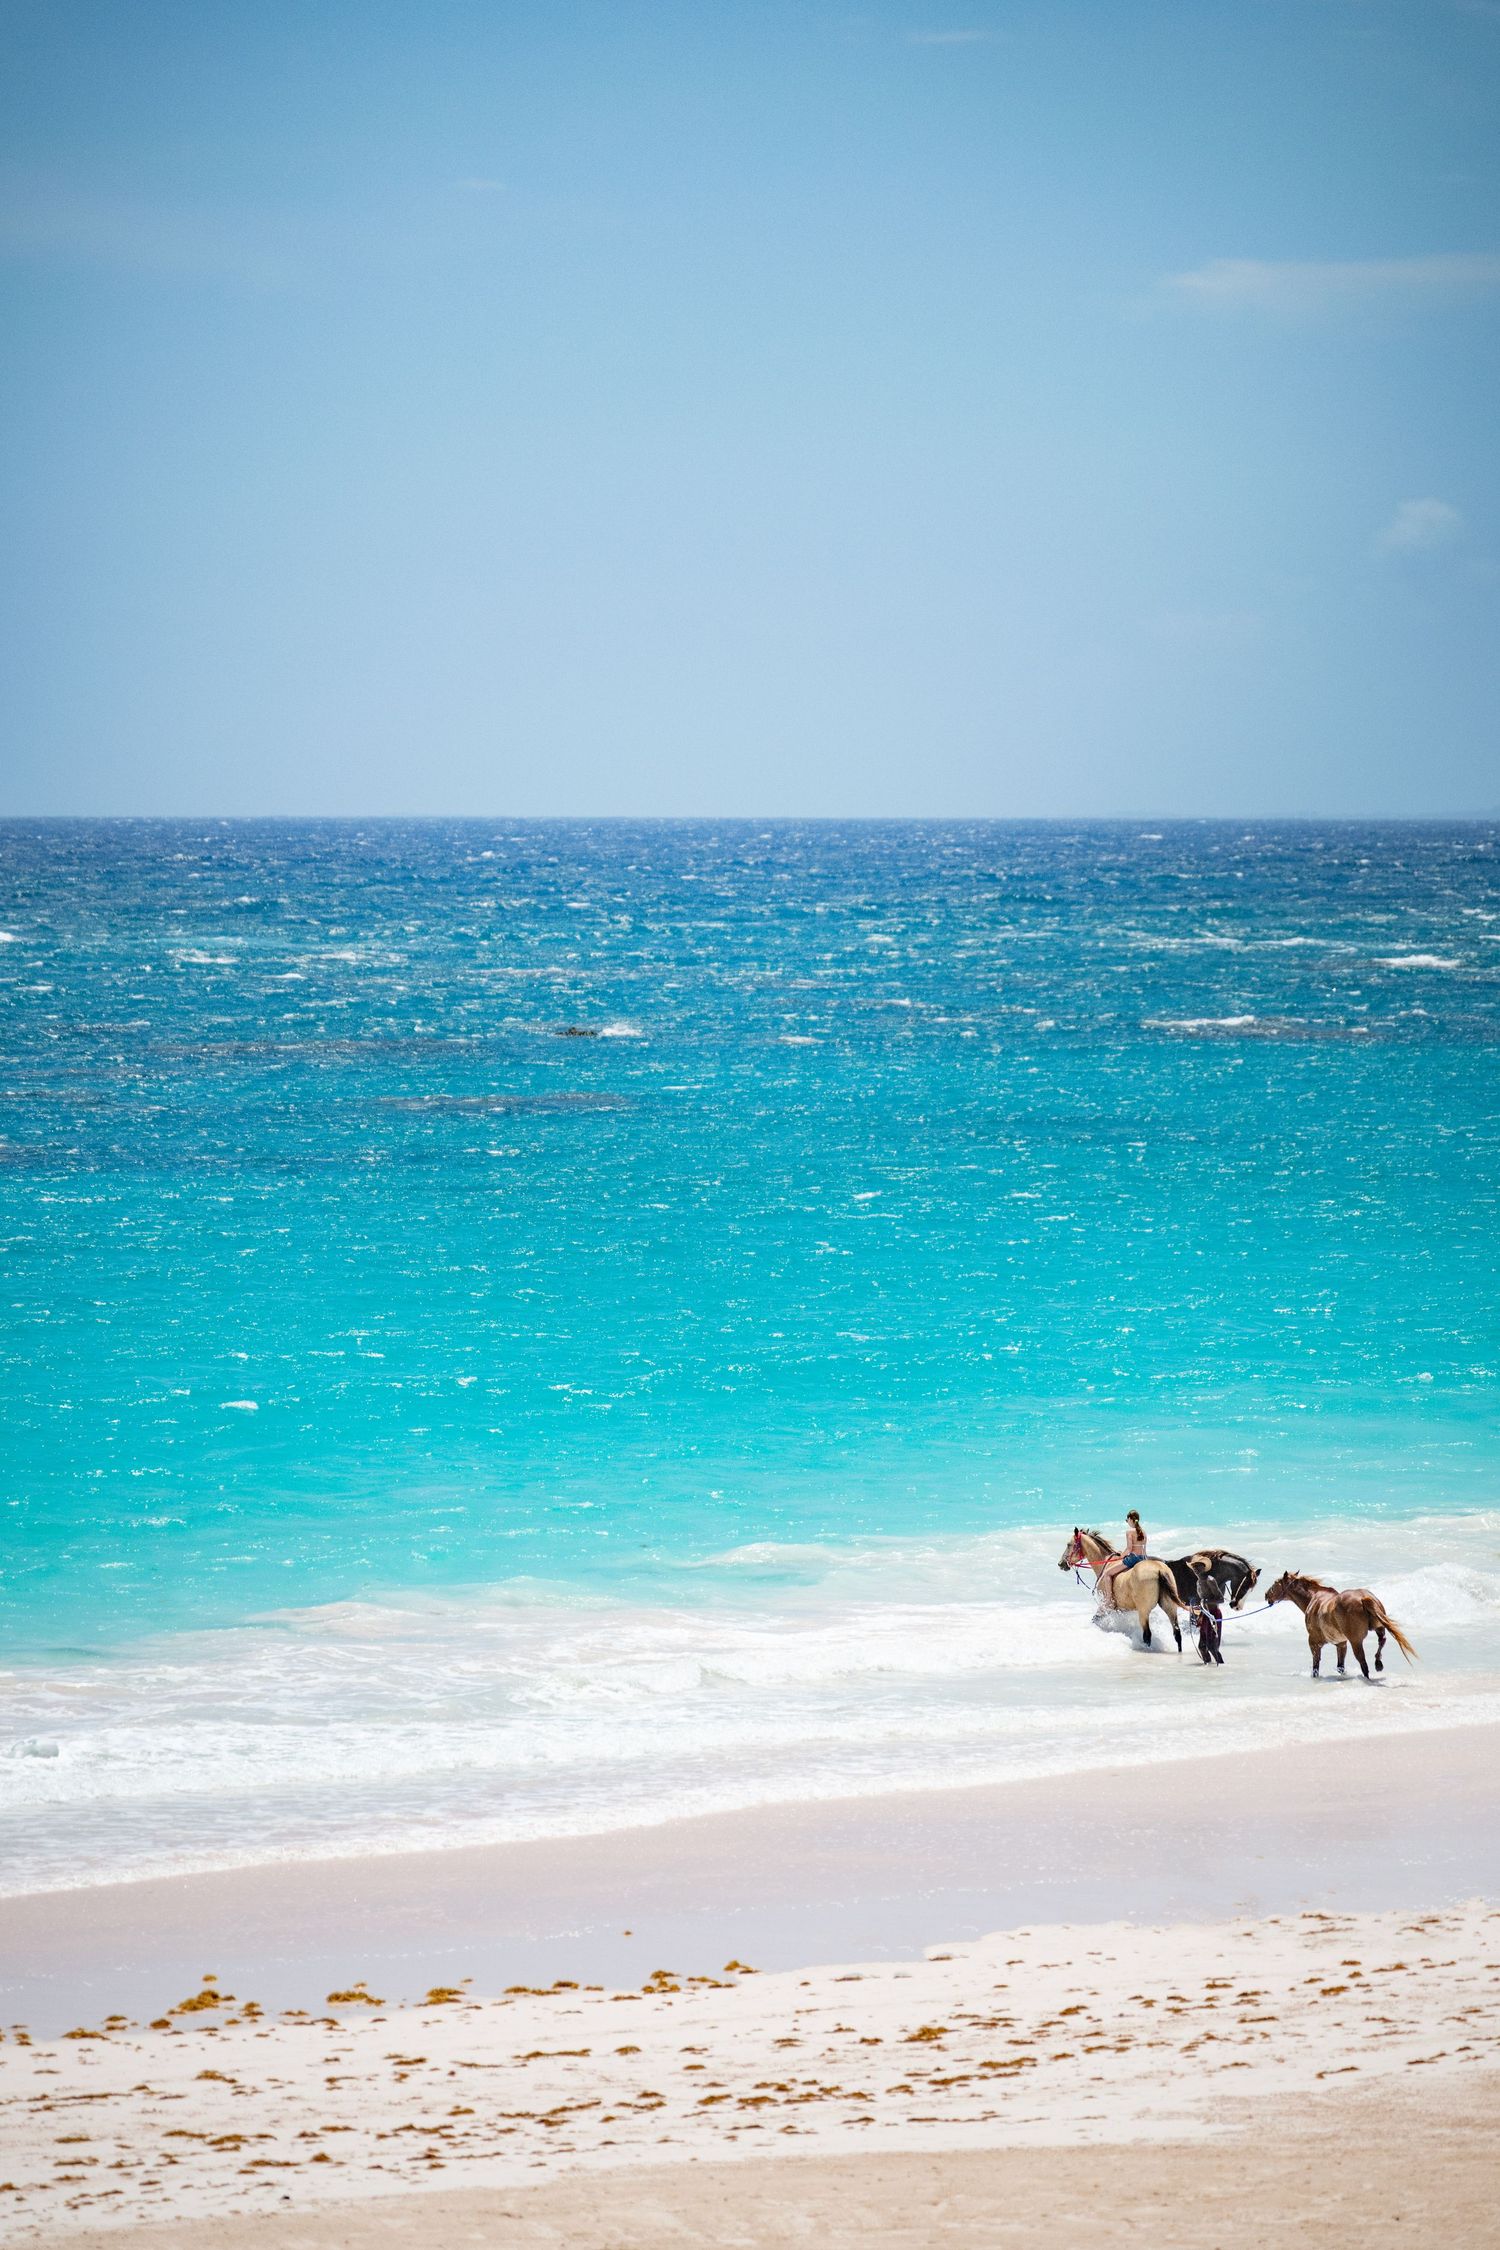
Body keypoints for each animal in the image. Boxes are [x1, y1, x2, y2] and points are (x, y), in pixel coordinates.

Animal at [1264, 1570, 1417, 1680]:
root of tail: (1364, 1598)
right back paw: (1378, 1664)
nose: (1266, 1595)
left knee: (1364, 1664)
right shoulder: (1341, 1643)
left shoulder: (1314, 1643)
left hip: (1356, 1641)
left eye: (1275, 1582)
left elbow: (1316, 1667)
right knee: (1382, 1640)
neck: (1314, 1599)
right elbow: (1340, 1667)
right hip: (1378, 1628)